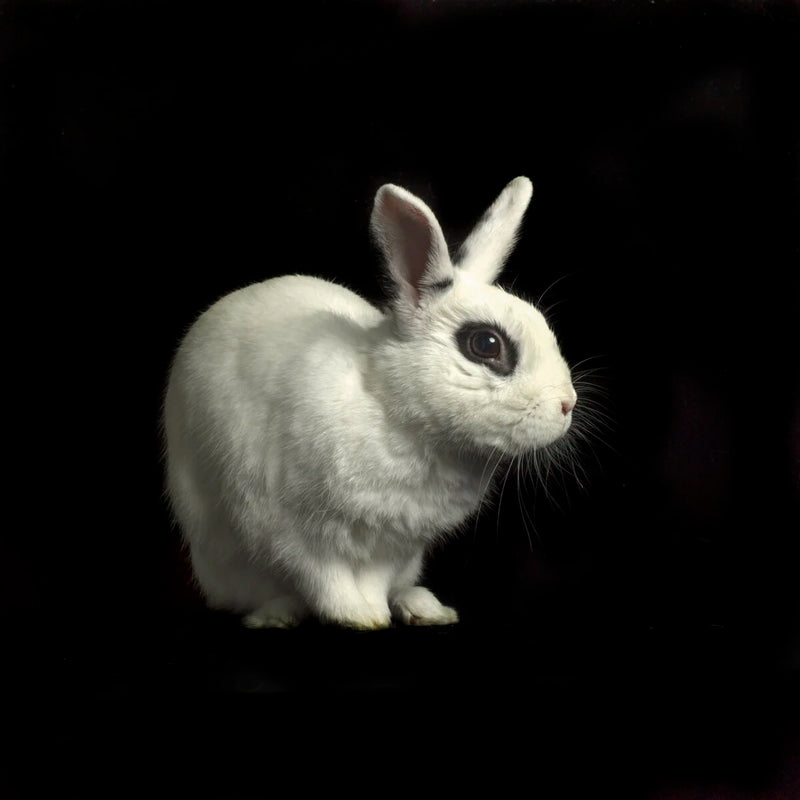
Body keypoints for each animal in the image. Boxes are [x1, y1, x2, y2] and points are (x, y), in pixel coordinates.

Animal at [163, 176, 577, 630]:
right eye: (486, 344)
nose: (567, 405)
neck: (393, 411)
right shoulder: (289, 528)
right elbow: (323, 576)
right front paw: (359, 616)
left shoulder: (397, 542)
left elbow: (377, 580)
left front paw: (376, 610)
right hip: (223, 560)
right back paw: (275, 615)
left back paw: (425, 607)